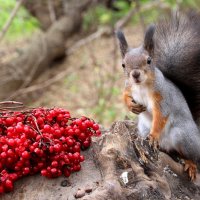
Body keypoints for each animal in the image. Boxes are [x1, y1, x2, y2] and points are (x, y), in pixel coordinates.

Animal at [116, 12, 200, 181]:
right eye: (123, 64)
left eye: (148, 61)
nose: (135, 74)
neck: (141, 86)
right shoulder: (129, 87)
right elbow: (125, 94)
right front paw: (131, 105)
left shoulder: (162, 97)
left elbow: (160, 115)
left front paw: (154, 135)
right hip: (142, 130)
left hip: (183, 136)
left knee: (192, 155)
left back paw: (190, 163)